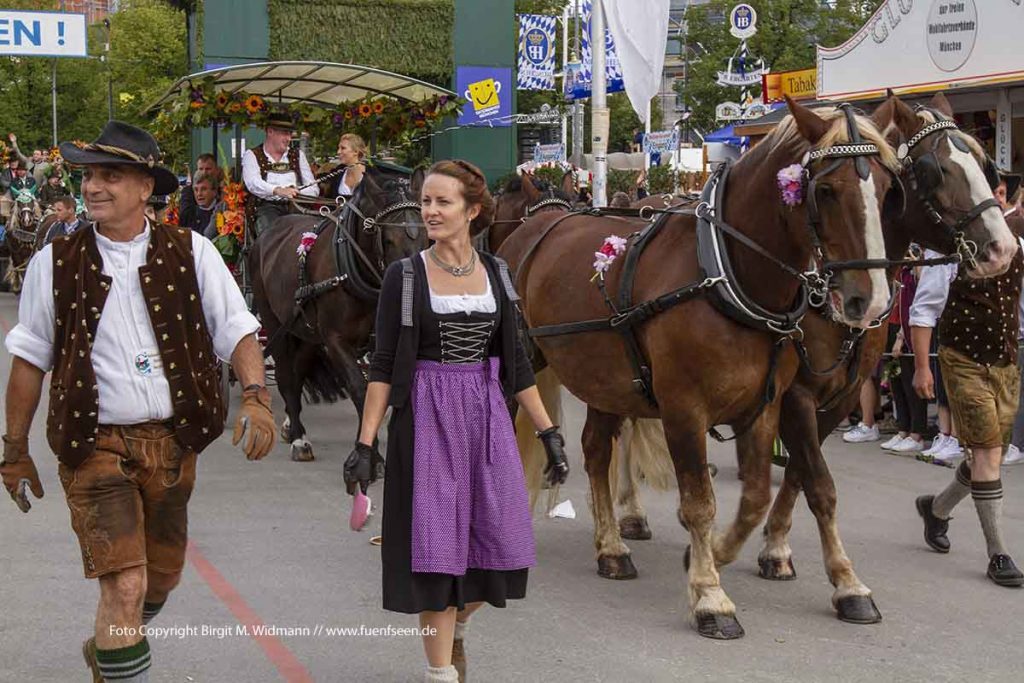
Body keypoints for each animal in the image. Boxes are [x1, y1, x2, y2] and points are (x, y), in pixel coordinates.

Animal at [249, 167, 425, 462]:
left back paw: (290, 425)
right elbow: (359, 387)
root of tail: (268, 233)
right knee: (285, 375)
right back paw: (299, 438)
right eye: (388, 239)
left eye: (427, 233)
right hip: (274, 323)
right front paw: (368, 454)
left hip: (306, 331)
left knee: (297, 372)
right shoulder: (336, 340)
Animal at [499, 98, 901, 638]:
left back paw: (611, 548)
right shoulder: (684, 409)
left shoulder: (767, 405)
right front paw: (711, 596)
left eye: (887, 189)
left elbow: (758, 496)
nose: (869, 300)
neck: (725, 273)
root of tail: (530, 229)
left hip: (607, 378)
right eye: (825, 190)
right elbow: (700, 501)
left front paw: (711, 556)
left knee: (596, 451)